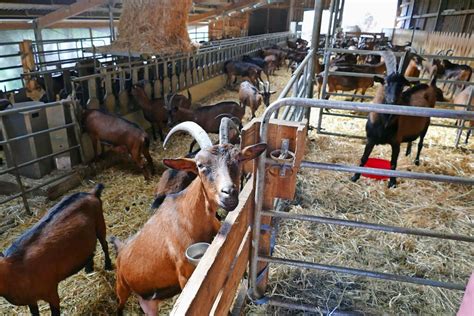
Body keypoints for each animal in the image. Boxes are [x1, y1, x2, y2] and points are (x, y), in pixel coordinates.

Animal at [0, 184, 110, 314]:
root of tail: (91, 193)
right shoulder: (31, 299)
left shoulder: (51, 291)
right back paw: (88, 268)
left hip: (100, 222)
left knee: (104, 244)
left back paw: (108, 265)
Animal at [111, 120, 266, 314]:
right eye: (200, 165)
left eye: (238, 159)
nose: (229, 193)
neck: (191, 217)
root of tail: (121, 250)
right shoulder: (185, 275)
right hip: (121, 287)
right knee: (119, 305)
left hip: (149, 300)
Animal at [350, 51, 442, 188]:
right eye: (385, 82)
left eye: (402, 85)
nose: (392, 100)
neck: (384, 123)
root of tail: (430, 85)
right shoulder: (370, 139)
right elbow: (364, 158)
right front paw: (355, 177)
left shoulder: (396, 142)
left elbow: (393, 162)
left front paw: (392, 183)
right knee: (411, 141)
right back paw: (408, 153)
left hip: (427, 123)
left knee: (420, 143)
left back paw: (416, 161)